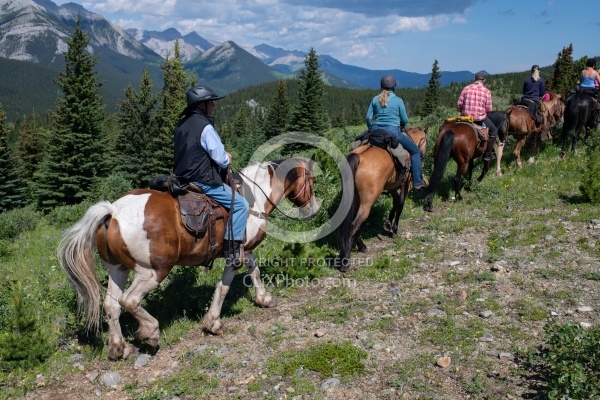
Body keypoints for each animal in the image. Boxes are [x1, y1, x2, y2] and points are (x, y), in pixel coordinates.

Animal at [57, 156, 318, 360]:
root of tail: (113, 211)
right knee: (129, 300)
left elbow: (254, 271)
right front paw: (213, 322)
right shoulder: (235, 254)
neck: (253, 198)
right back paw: (150, 332)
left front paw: (264, 298)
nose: (313, 210)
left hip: (117, 269)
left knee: (111, 305)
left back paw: (119, 348)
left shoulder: (246, 251)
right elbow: (224, 287)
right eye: (312, 181)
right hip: (153, 271)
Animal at [338, 126, 426, 268]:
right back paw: (346, 260)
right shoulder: (405, 186)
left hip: (355, 198)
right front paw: (394, 229)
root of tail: (359, 157)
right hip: (367, 202)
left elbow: (395, 202)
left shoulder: (391, 187)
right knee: (354, 224)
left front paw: (388, 223)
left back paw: (361, 246)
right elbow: (400, 204)